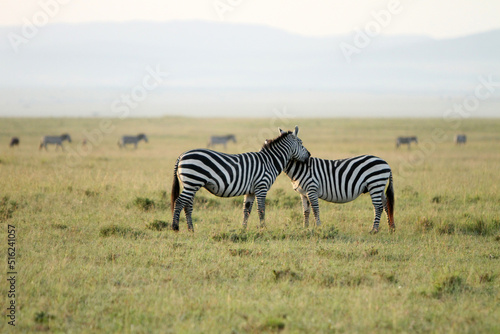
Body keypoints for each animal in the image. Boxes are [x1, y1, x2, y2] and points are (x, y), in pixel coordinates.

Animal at [173, 126, 312, 231]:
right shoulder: (261, 186)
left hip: (190, 184)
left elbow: (246, 210)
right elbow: (261, 209)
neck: (269, 161)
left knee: (187, 205)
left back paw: (191, 229)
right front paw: (263, 228)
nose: (309, 155)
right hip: (192, 182)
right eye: (301, 143)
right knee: (179, 202)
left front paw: (243, 229)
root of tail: (181, 156)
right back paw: (175, 227)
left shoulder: (250, 191)